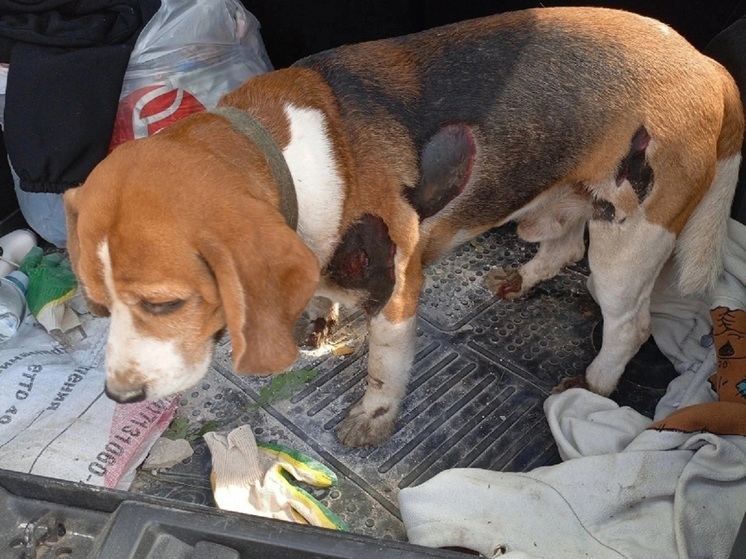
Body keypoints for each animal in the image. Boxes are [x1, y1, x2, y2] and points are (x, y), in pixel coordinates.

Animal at [65, 6, 740, 448]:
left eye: (166, 304)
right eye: (96, 305)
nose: (119, 399)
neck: (286, 154)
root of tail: (707, 63)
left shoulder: (394, 292)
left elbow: (383, 369)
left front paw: (374, 418)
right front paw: (320, 316)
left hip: (631, 240)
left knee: (629, 325)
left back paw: (592, 384)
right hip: (571, 200)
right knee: (565, 246)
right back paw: (522, 280)